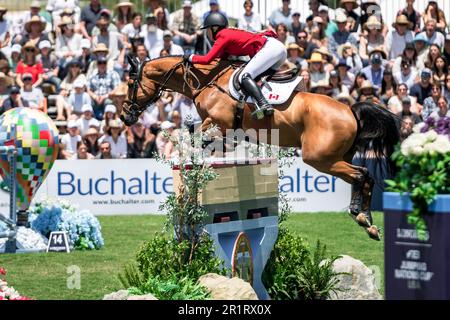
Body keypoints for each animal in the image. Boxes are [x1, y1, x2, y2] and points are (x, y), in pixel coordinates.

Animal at [120, 55, 400, 240]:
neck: (207, 80)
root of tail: (350, 110)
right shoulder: (223, 130)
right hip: (337, 156)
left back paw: (363, 218)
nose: (125, 116)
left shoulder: (218, 123)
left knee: (362, 174)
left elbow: (192, 138)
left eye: (130, 85)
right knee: (360, 176)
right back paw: (365, 219)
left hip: (320, 158)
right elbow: (199, 138)